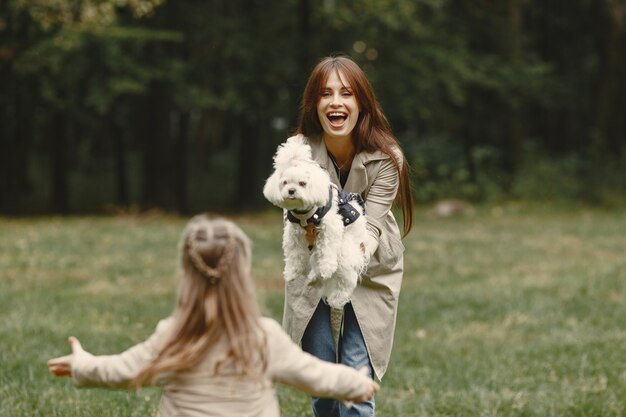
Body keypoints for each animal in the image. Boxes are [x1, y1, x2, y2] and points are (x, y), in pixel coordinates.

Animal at [262, 136, 368, 308]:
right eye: (285, 183)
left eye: (302, 183)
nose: (291, 191)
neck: (305, 213)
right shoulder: (294, 234)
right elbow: (294, 253)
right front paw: (291, 272)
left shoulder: (330, 228)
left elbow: (327, 250)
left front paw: (327, 268)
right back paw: (314, 277)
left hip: (345, 249)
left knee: (347, 278)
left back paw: (337, 298)